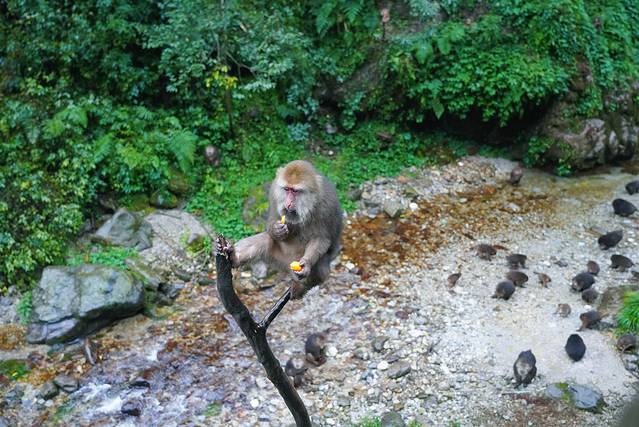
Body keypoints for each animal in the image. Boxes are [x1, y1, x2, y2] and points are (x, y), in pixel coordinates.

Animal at [218, 160, 343, 299]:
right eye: (287, 189)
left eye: (295, 191)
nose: (288, 203)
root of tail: (288, 267)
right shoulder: (275, 194)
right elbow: (272, 220)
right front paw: (276, 230)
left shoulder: (327, 206)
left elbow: (321, 239)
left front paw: (306, 264)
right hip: (278, 259)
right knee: (266, 239)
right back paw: (234, 257)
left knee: (321, 268)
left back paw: (301, 287)